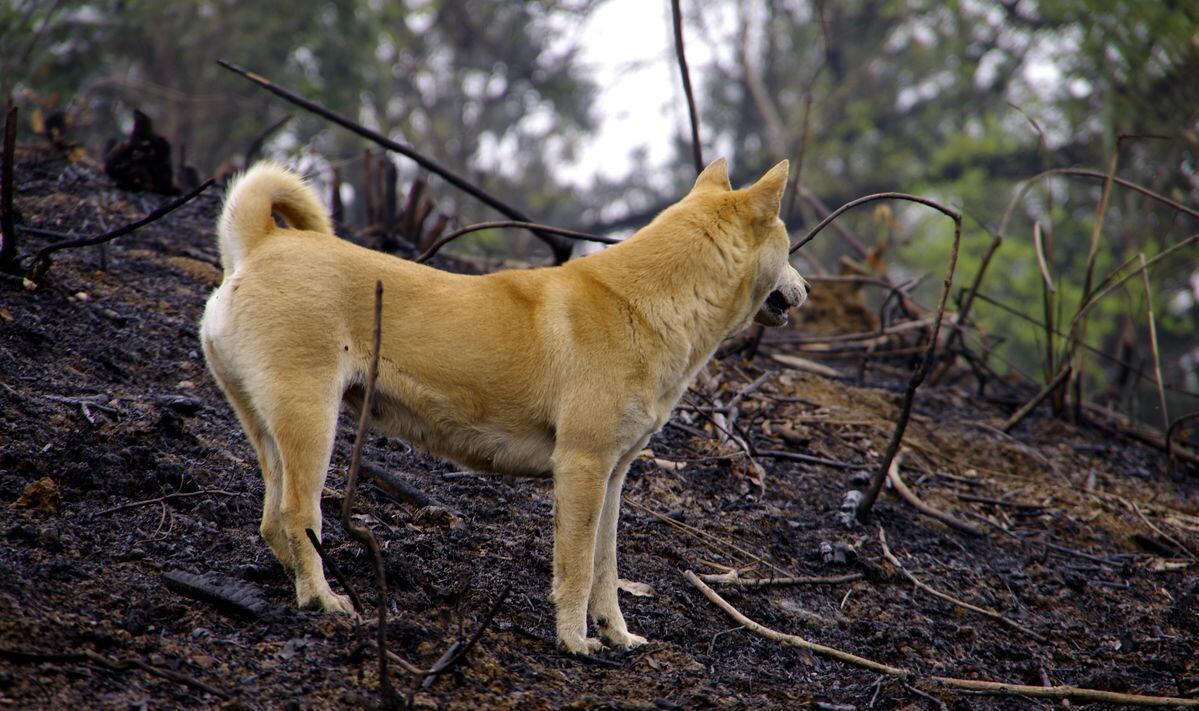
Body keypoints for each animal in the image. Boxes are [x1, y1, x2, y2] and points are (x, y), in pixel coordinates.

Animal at [201, 158, 810, 652]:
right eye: (790, 245)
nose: (806, 289)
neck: (643, 304)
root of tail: (259, 245)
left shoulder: (613, 476)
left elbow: (606, 569)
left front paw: (617, 635)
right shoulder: (582, 467)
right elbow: (577, 569)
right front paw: (575, 642)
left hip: (271, 427)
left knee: (271, 521)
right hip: (311, 421)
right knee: (298, 515)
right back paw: (323, 599)